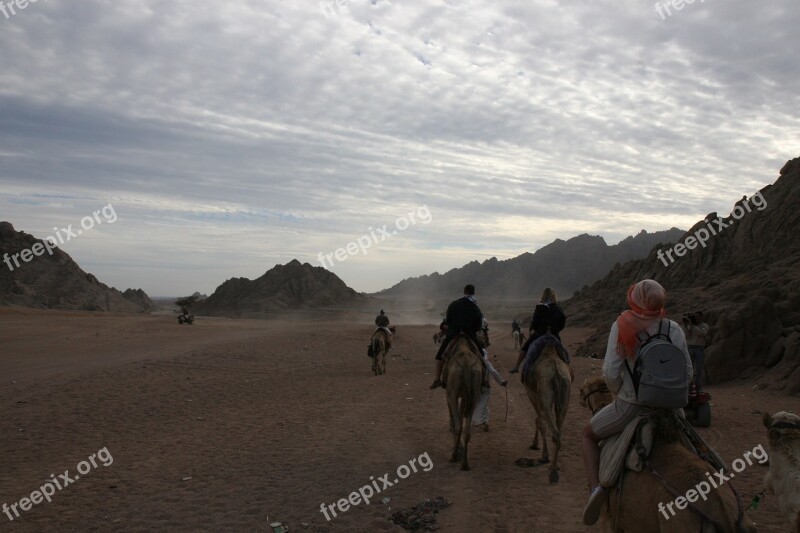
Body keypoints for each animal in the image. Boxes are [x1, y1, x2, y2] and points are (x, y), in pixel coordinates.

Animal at [440, 332, 484, 470]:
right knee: (467, 430)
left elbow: (454, 419)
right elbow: (460, 414)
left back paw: (453, 456)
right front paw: (459, 447)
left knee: (458, 426)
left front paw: (457, 447)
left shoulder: (449, 393)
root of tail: (465, 363)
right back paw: (465, 463)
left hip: (453, 390)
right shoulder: (465, 395)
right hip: (475, 391)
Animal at [520, 340, 572, 482]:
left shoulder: (532, 395)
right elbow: (538, 420)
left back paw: (553, 473)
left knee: (554, 431)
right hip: (565, 396)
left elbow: (540, 422)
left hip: (544, 395)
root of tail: (556, 372)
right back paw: (554, 467)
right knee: (559, 428)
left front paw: (543, 454)